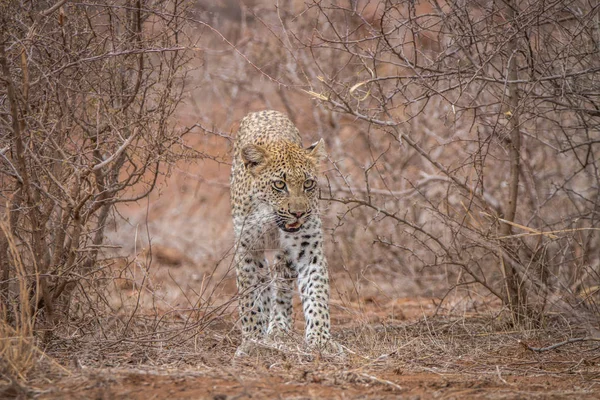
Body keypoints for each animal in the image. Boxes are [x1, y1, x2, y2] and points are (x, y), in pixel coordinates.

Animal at [230, 110, 338, 356]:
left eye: (308, 183)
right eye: (279, 185)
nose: (298, 213)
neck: (271, 220)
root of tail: (266, 111)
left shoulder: (309, 250)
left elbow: (316, 292)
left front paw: (320, 340)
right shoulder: (248, 250)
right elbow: (250, 299)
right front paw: (252, 341)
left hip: (286, 258)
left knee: (281, 286)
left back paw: (279, 328)